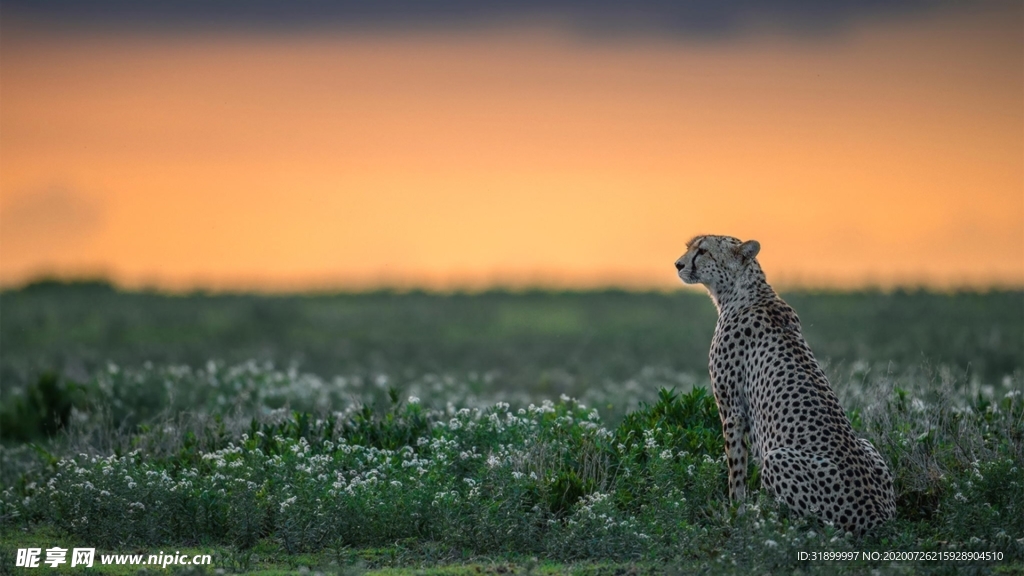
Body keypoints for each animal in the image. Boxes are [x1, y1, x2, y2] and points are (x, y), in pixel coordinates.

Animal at [675, 235, 892, 532]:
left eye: (703, 250)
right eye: (690, 246)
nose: (678, 264)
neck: (744, 291)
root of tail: (878, 516)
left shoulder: (732, 411)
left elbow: (736, 471)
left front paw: (735, 516)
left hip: (777, 458)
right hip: (867, 444)